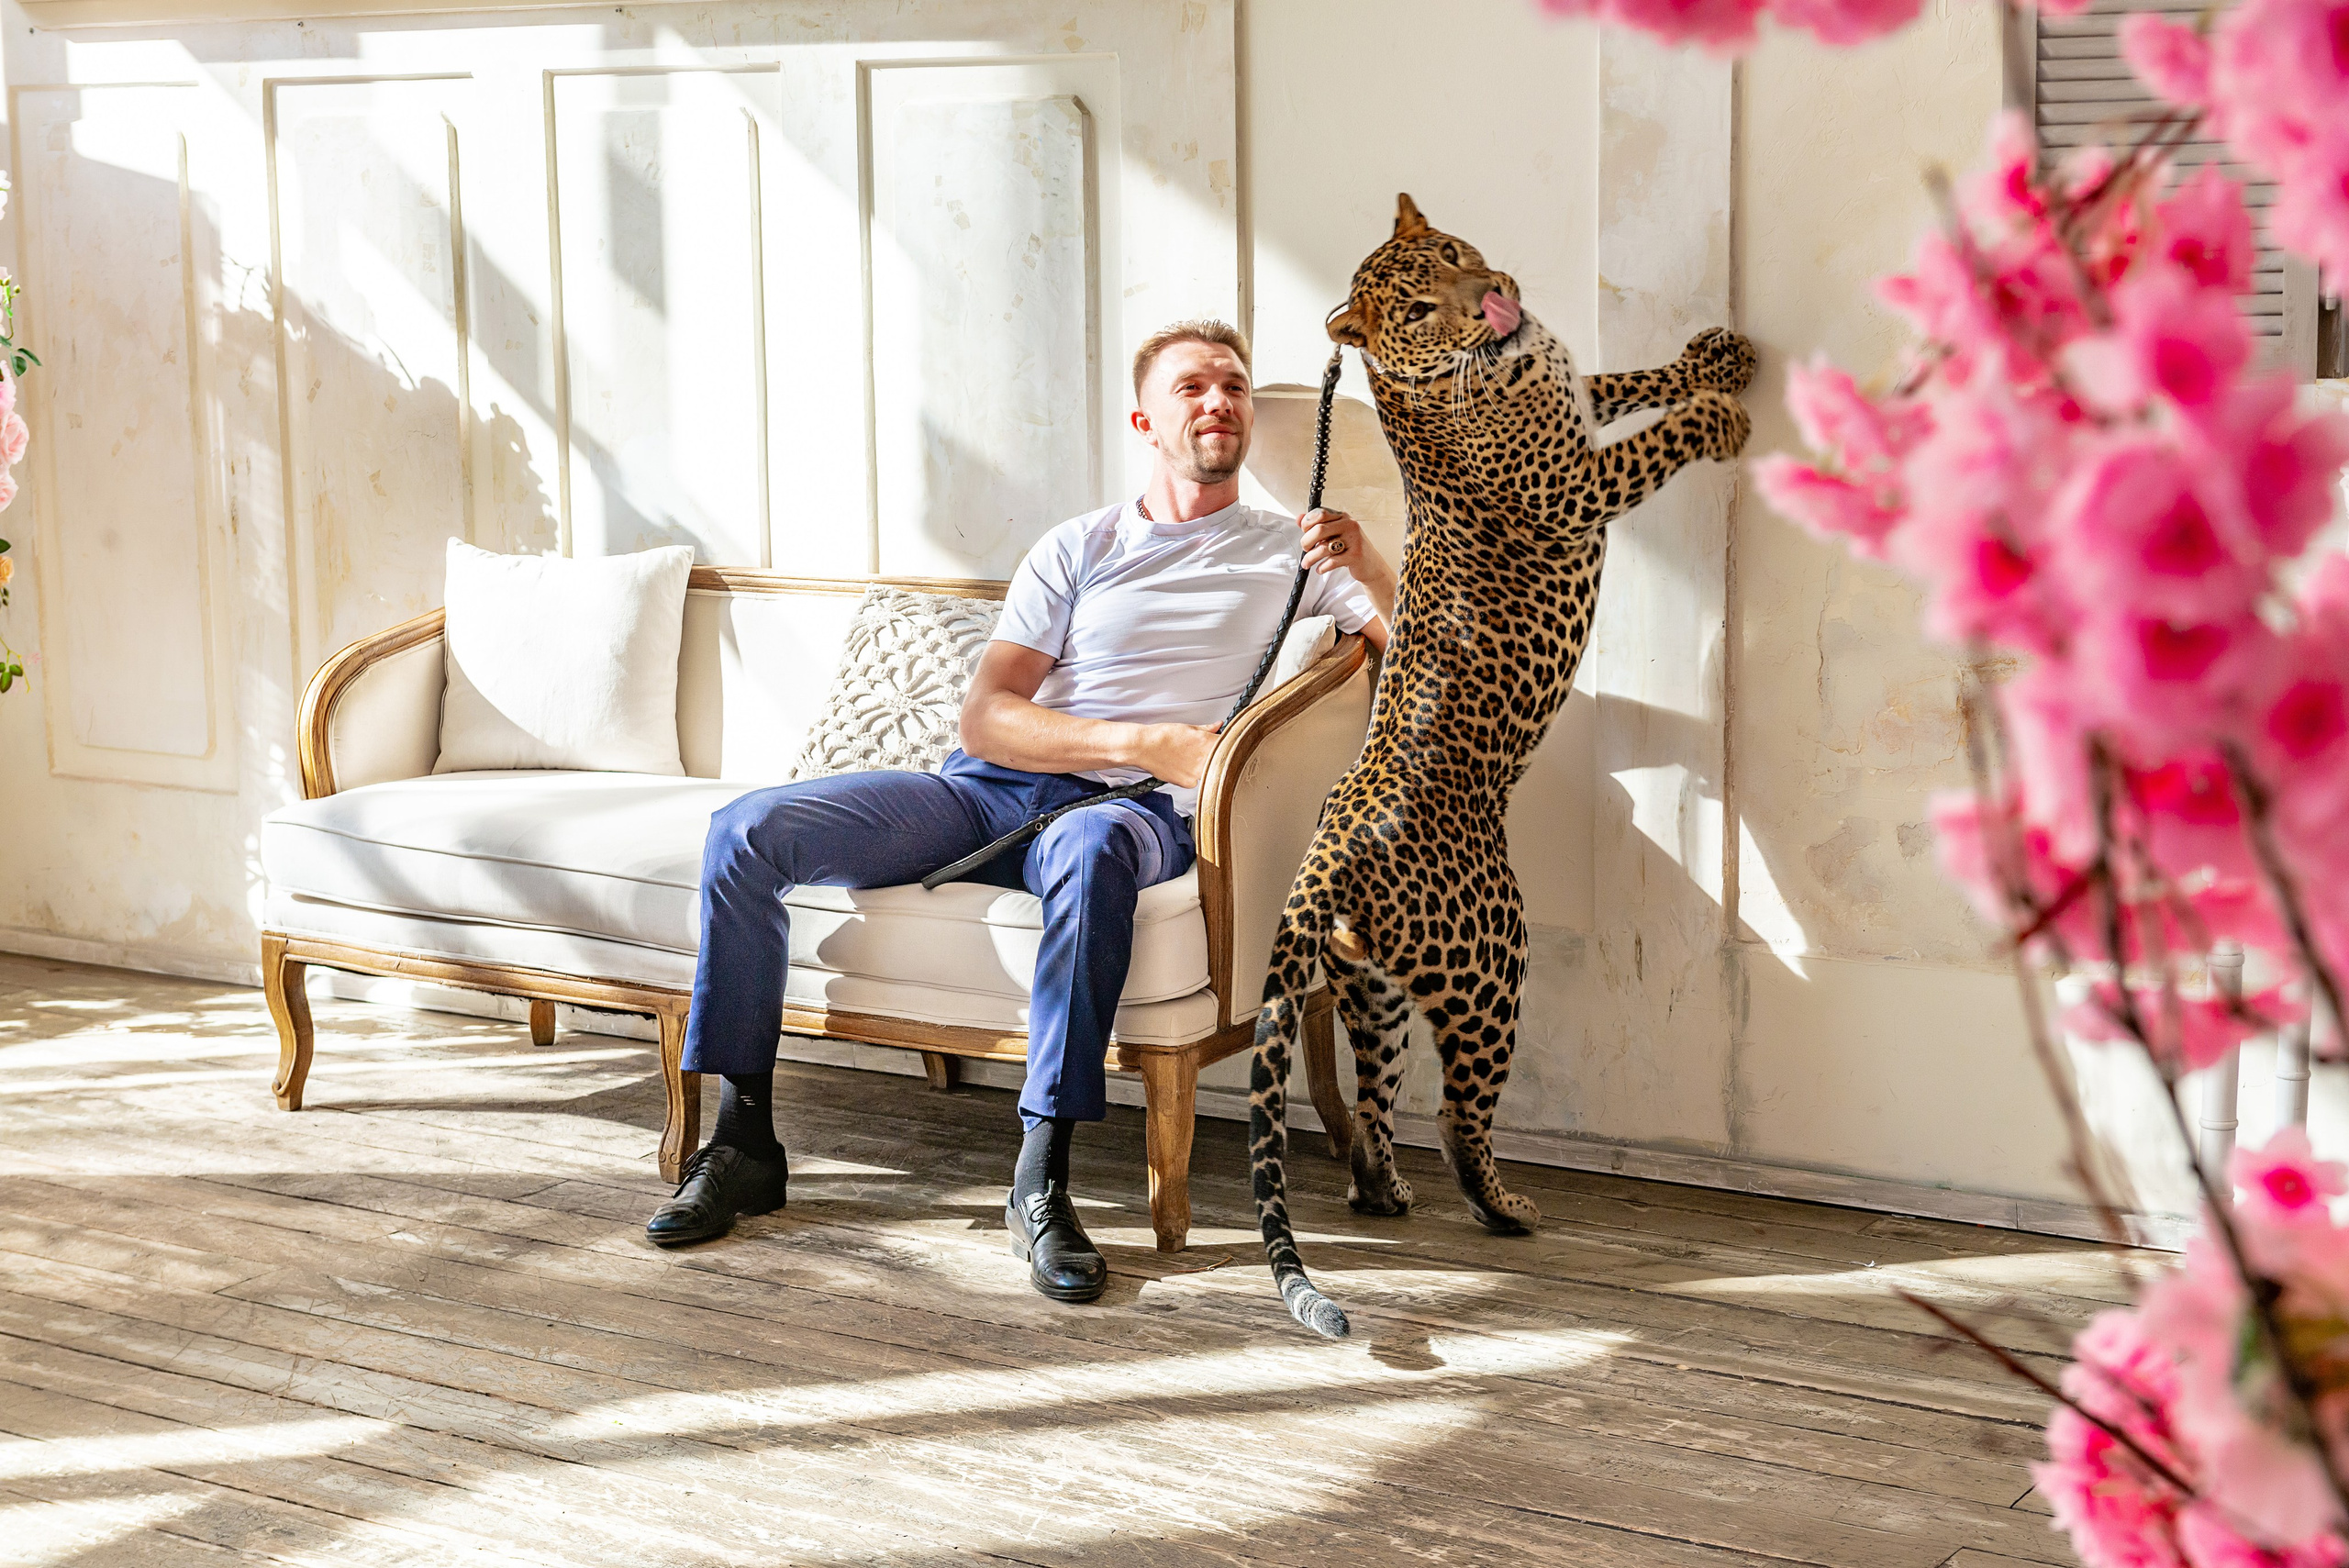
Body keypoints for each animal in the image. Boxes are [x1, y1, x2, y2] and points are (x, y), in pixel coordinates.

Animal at [1248, 194, 1756, 1340]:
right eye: (1415, 310)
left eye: (1445, 254)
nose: (1488, 298)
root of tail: (1324, 855)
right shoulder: (1577, 486)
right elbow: (1655, 437)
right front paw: (1720, 416)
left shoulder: (1571, 394)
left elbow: (1620, 377)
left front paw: (1713, 358)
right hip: (1491, 964)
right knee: (1455, 1114)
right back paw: (1507, 1208)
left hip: (1372, 985)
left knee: (1375, 1104)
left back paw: (1384, 1192)